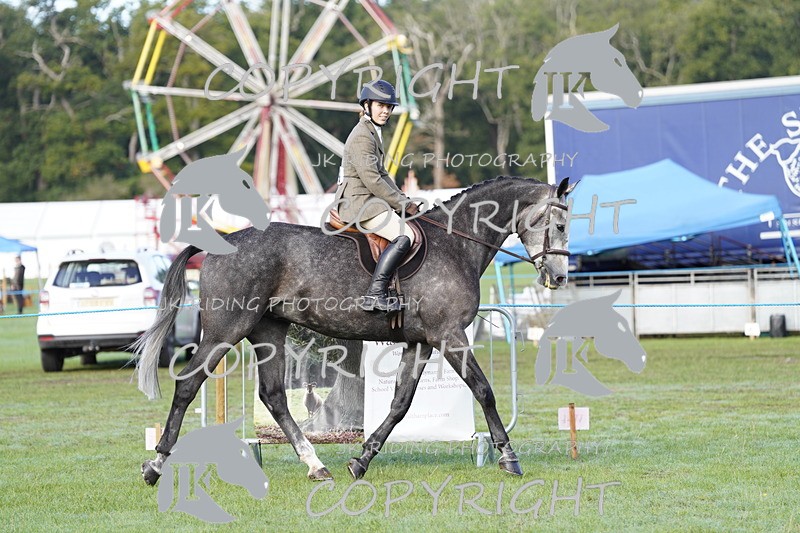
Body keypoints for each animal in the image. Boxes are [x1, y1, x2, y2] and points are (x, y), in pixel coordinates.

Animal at [136, 175, 577, 484]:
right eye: (559, 225)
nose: (558, 276)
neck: (456, 243)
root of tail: (221, 241)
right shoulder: (449, 335)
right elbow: (484, 391)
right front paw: (509, 457)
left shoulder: (420, 343)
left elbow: (400, 403)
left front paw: (361, 460)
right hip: (226, 330)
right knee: (188, 385)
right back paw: (156, 464)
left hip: (268, 330)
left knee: (274, 396)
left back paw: (315, 465)